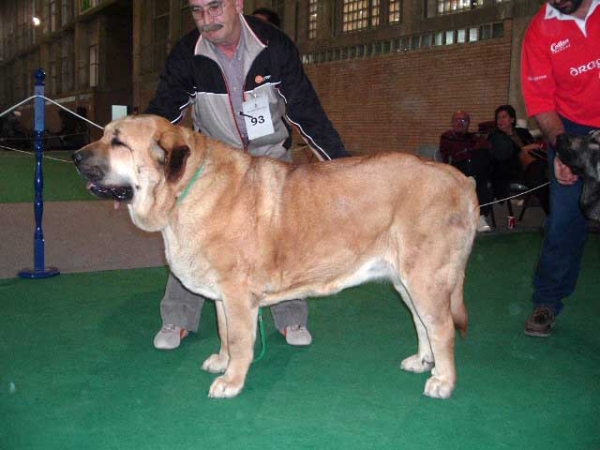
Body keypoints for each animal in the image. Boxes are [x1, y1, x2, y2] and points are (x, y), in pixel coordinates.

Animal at [74, 114, 478, 400]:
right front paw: (221, 362)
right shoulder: (223, 296)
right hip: (405, 282)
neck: (185, 191)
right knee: (422, 323)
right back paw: (422, 362)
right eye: (105, 135)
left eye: (118, 141)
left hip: (425, 278)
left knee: (441, 328)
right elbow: (224, 333)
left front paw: (231, 381)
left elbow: (240, 340)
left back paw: (443, 381)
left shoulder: (238, 295)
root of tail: (463, 179)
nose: (76, 156)